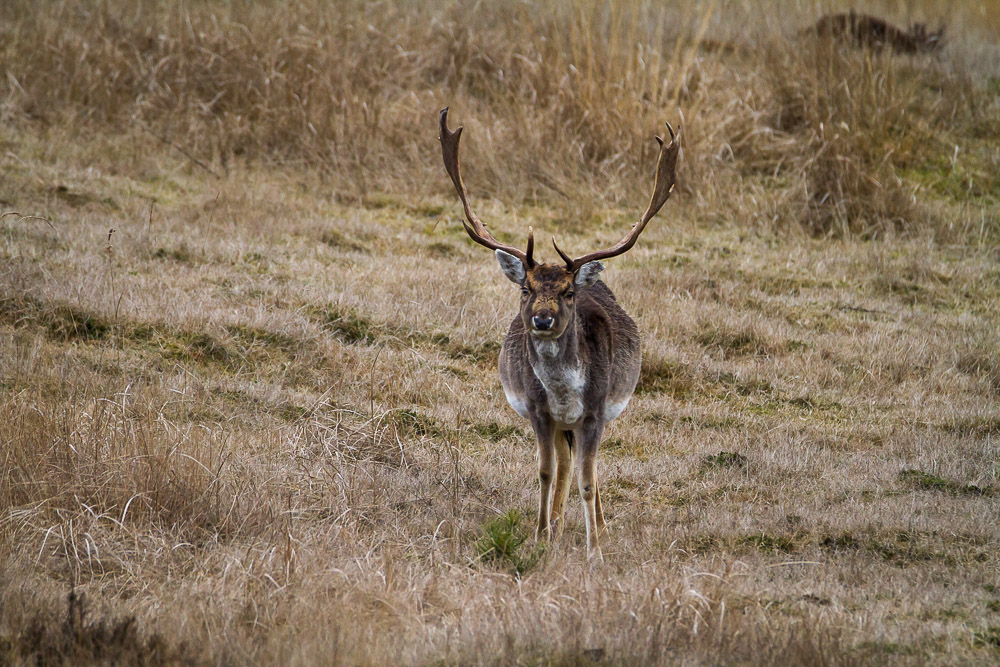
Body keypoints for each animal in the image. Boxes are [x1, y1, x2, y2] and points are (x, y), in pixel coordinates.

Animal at [438, 109, 680, 560]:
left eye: (568, 292)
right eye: (525, 288)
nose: (542, 320)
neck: (565, 392)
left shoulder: (596, 411)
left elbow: (588, 479)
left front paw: (595, 550)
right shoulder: (538, 410)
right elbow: (546, 472)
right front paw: (539, 537)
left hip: (599, 415)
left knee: (590, 469)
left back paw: (597, 526)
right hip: (560, 426)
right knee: (566, 464)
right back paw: (554, 524)